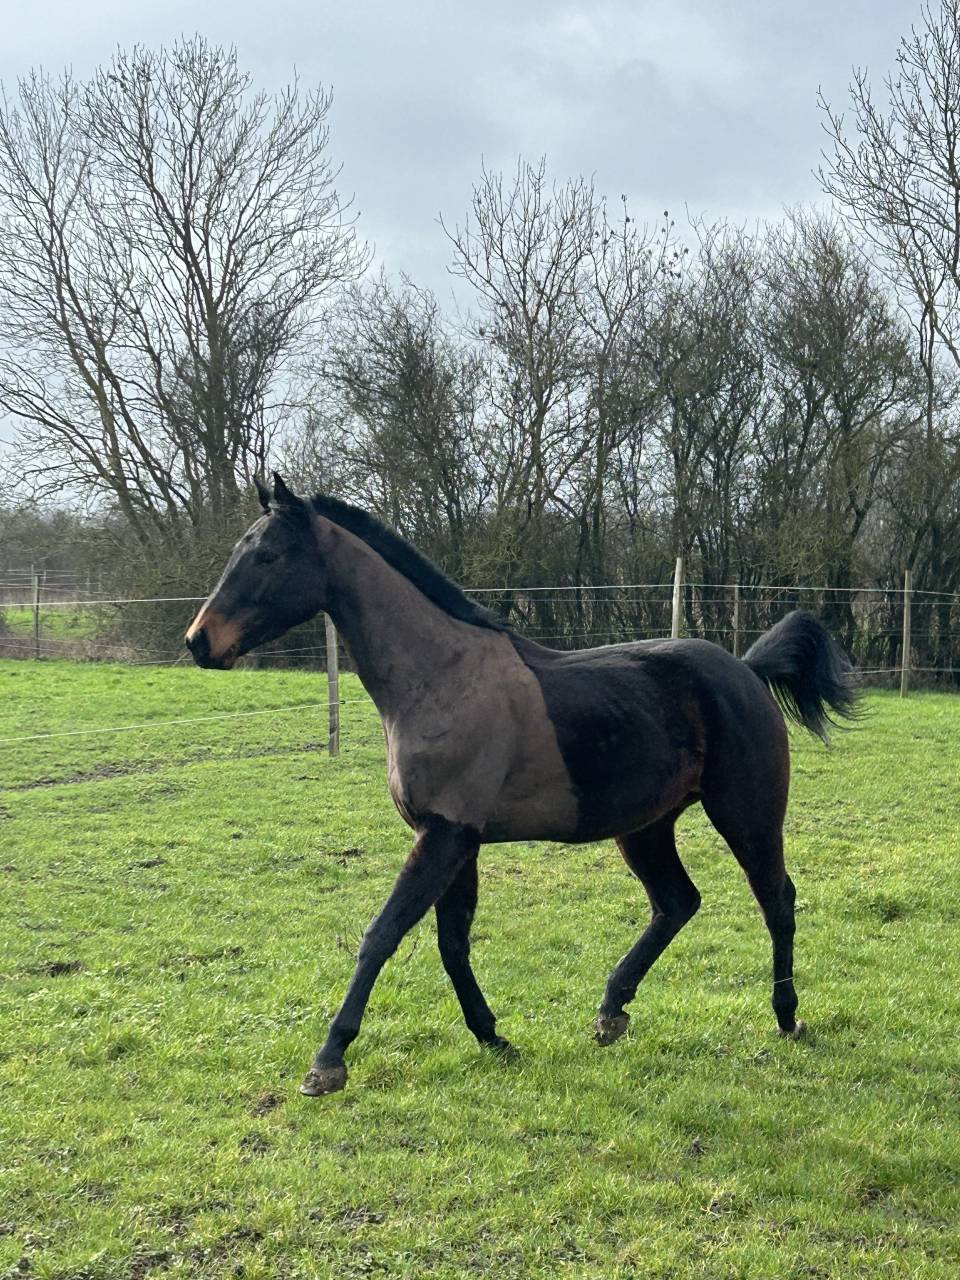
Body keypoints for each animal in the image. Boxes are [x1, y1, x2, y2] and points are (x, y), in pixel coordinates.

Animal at [185, 473, 858, 1097]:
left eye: (267, 556)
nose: (198, 641)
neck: (441, 677)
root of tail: (744, 670)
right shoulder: (457, 842)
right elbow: (452, 943)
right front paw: (493, 1037)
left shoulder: (445, 836)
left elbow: (383, 934)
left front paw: (328, 1061)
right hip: (645, 828)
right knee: (677, 902)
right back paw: (611, 1011)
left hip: (747, 814)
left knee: (777, 899)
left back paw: (786, 1017)